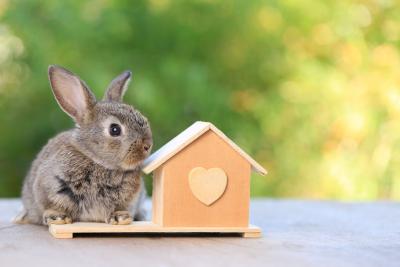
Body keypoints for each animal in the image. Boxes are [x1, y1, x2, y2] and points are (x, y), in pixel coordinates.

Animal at [13, 65, 152, 226]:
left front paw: (120, 217)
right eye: (114, 129)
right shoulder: (48, 187)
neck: (97, 161)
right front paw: (57, 217)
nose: (148, 145)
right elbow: (51, 206)